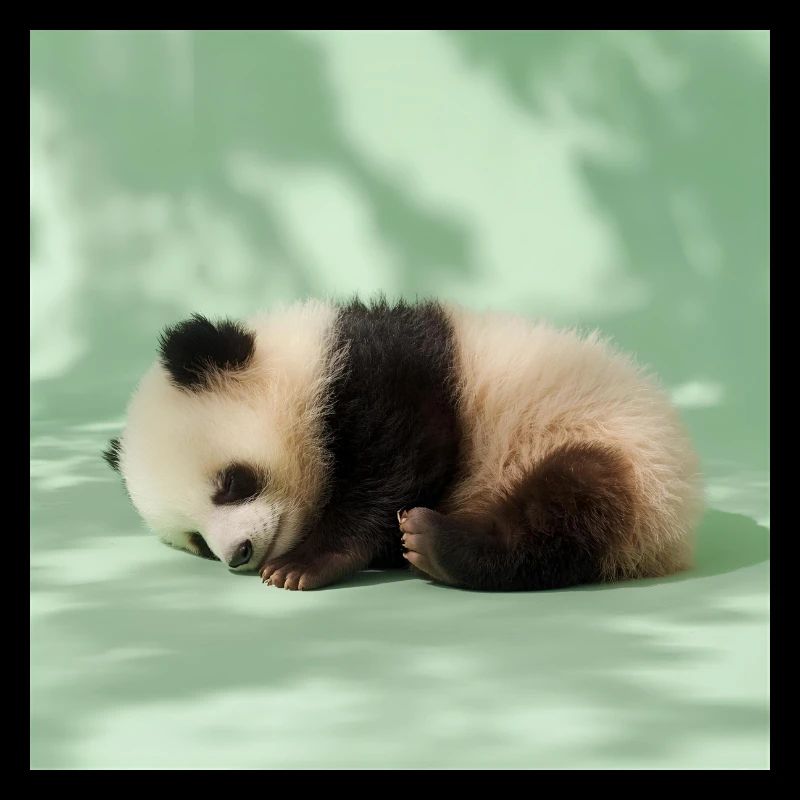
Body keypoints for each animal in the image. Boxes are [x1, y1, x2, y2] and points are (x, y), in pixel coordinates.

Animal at [104, 297, 702, 592]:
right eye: (197, 542)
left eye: (231, 483)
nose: (239, 555)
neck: (306, 363)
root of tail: (675, 540)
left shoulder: (387, 375)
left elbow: (401, 457)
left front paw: (305, 564)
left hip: (619, 447)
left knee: (574, 500)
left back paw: (441, 545)